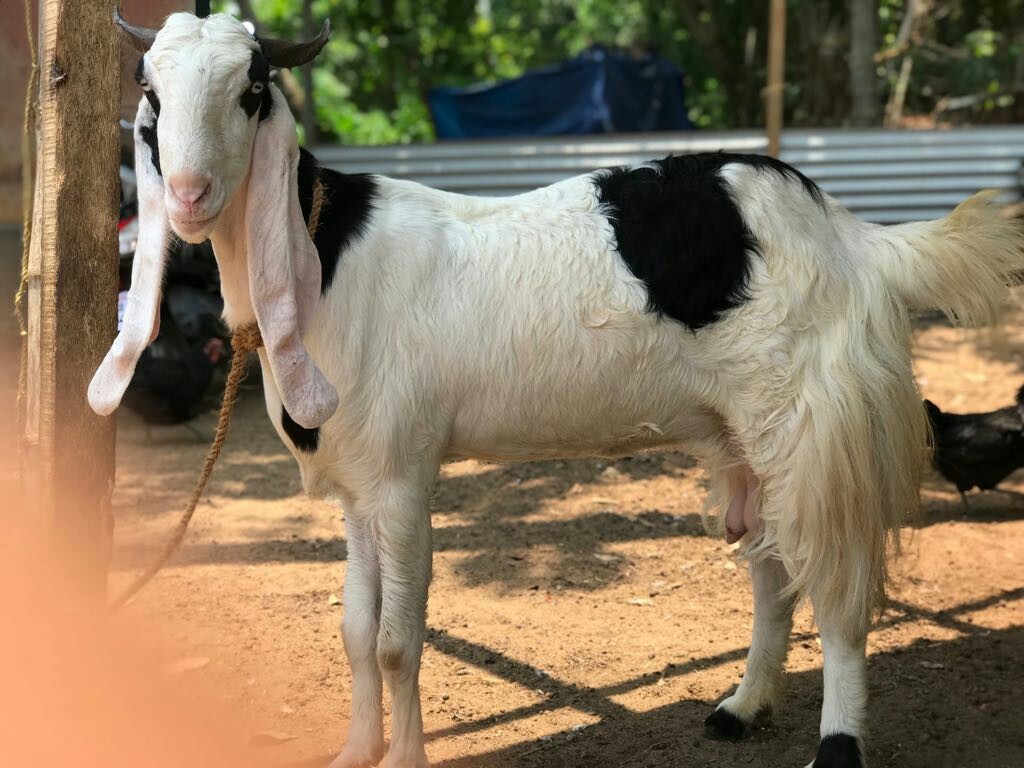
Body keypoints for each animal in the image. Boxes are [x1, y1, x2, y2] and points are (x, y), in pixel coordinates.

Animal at [90, 12, 1024, 768]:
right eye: (151, 94)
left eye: (251, 91)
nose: (189, 195)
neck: (329, 256)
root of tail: (857, 237)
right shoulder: (358, 484)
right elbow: (355, 632)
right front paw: (355, 750)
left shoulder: (402, 476)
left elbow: (396, 643)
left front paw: (402, 757)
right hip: (743, 428)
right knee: (771, 568)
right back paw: (742, 705)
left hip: (810, 418)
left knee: (836, 588)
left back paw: (835, 745)